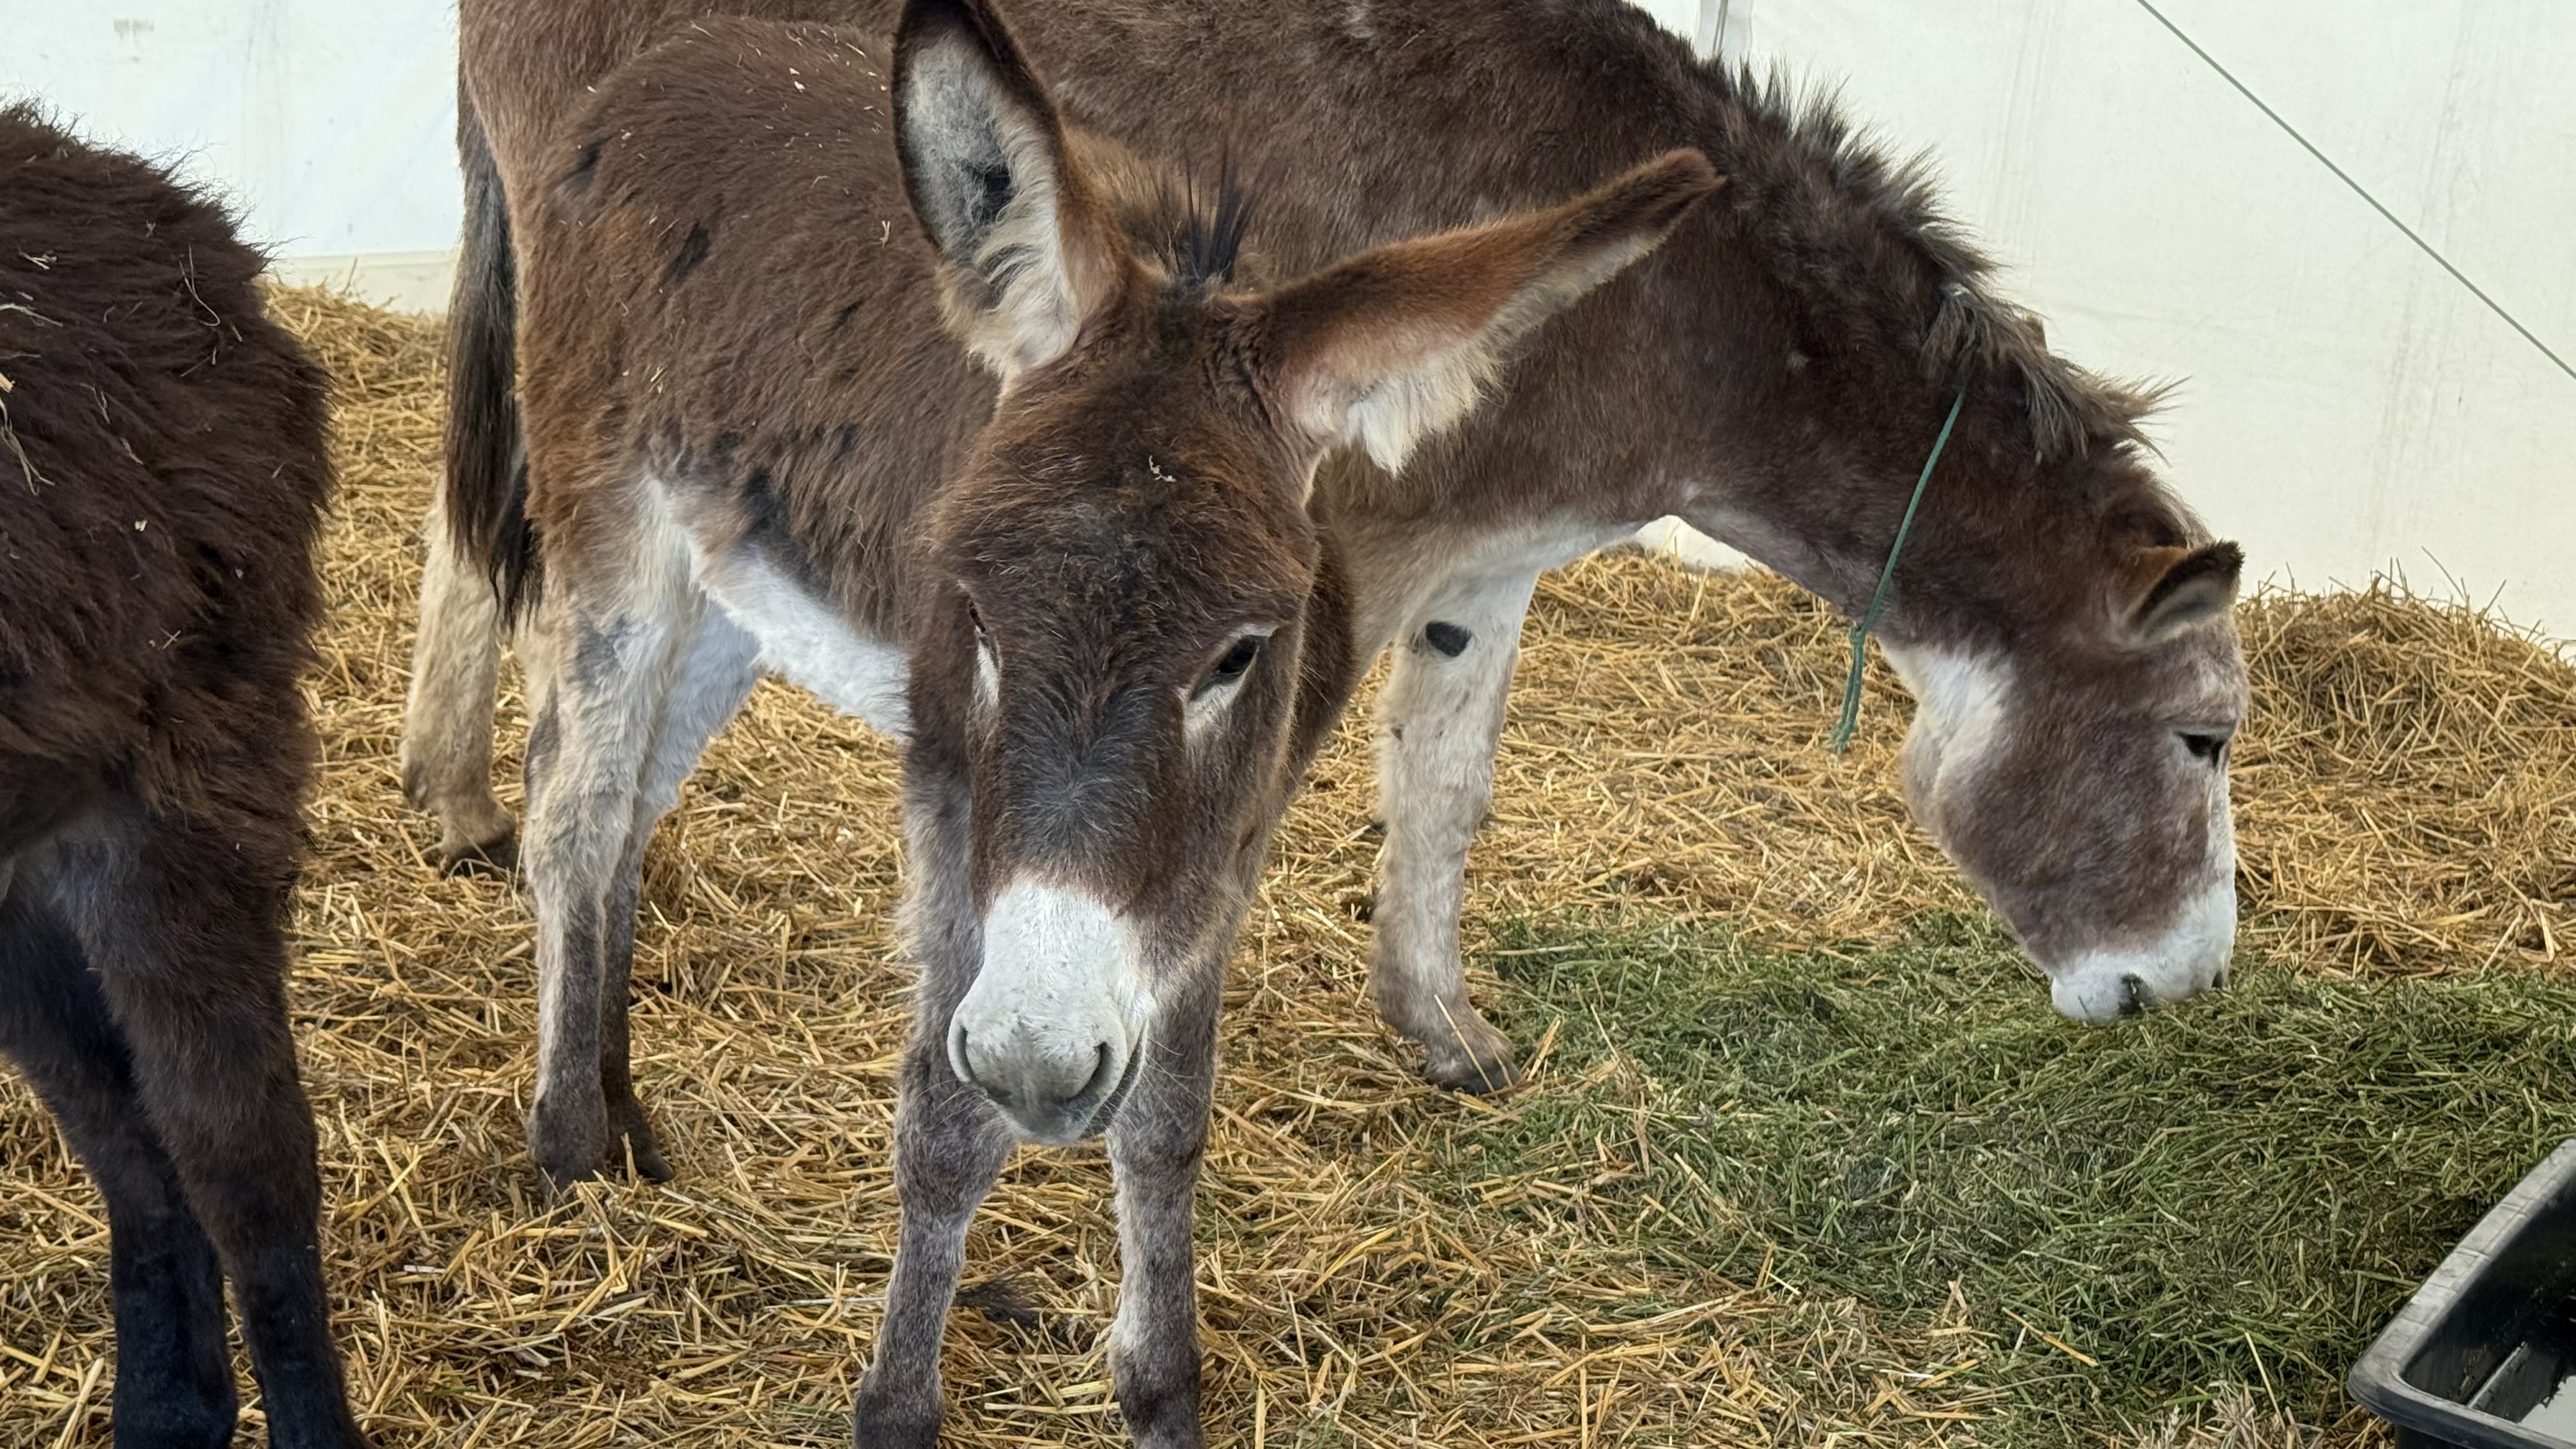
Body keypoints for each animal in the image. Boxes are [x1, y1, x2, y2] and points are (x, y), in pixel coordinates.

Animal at [406, 0, 2252, 1102]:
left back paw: (467, 819)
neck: (1694, 317)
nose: (2187, 984)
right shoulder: (1341, 558)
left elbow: (1448, 797)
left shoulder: (1487, 569)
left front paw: (1442, 1030)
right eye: (2204, 740)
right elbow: (1223, 836)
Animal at [455, 0, 1717, 1437]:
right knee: (575, 807)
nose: (1042, 1065)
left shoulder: (1217, 847)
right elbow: (948, 1123)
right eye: (979, 617)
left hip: (733, 592)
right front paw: (897, 1408)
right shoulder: (957, 801)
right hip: (615, 527)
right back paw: (570, 1148)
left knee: (624, 816)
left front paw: (1160, 1389)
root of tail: (674, 70)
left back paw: (620, 1111)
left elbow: (1168, 1117)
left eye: (1237, 655)